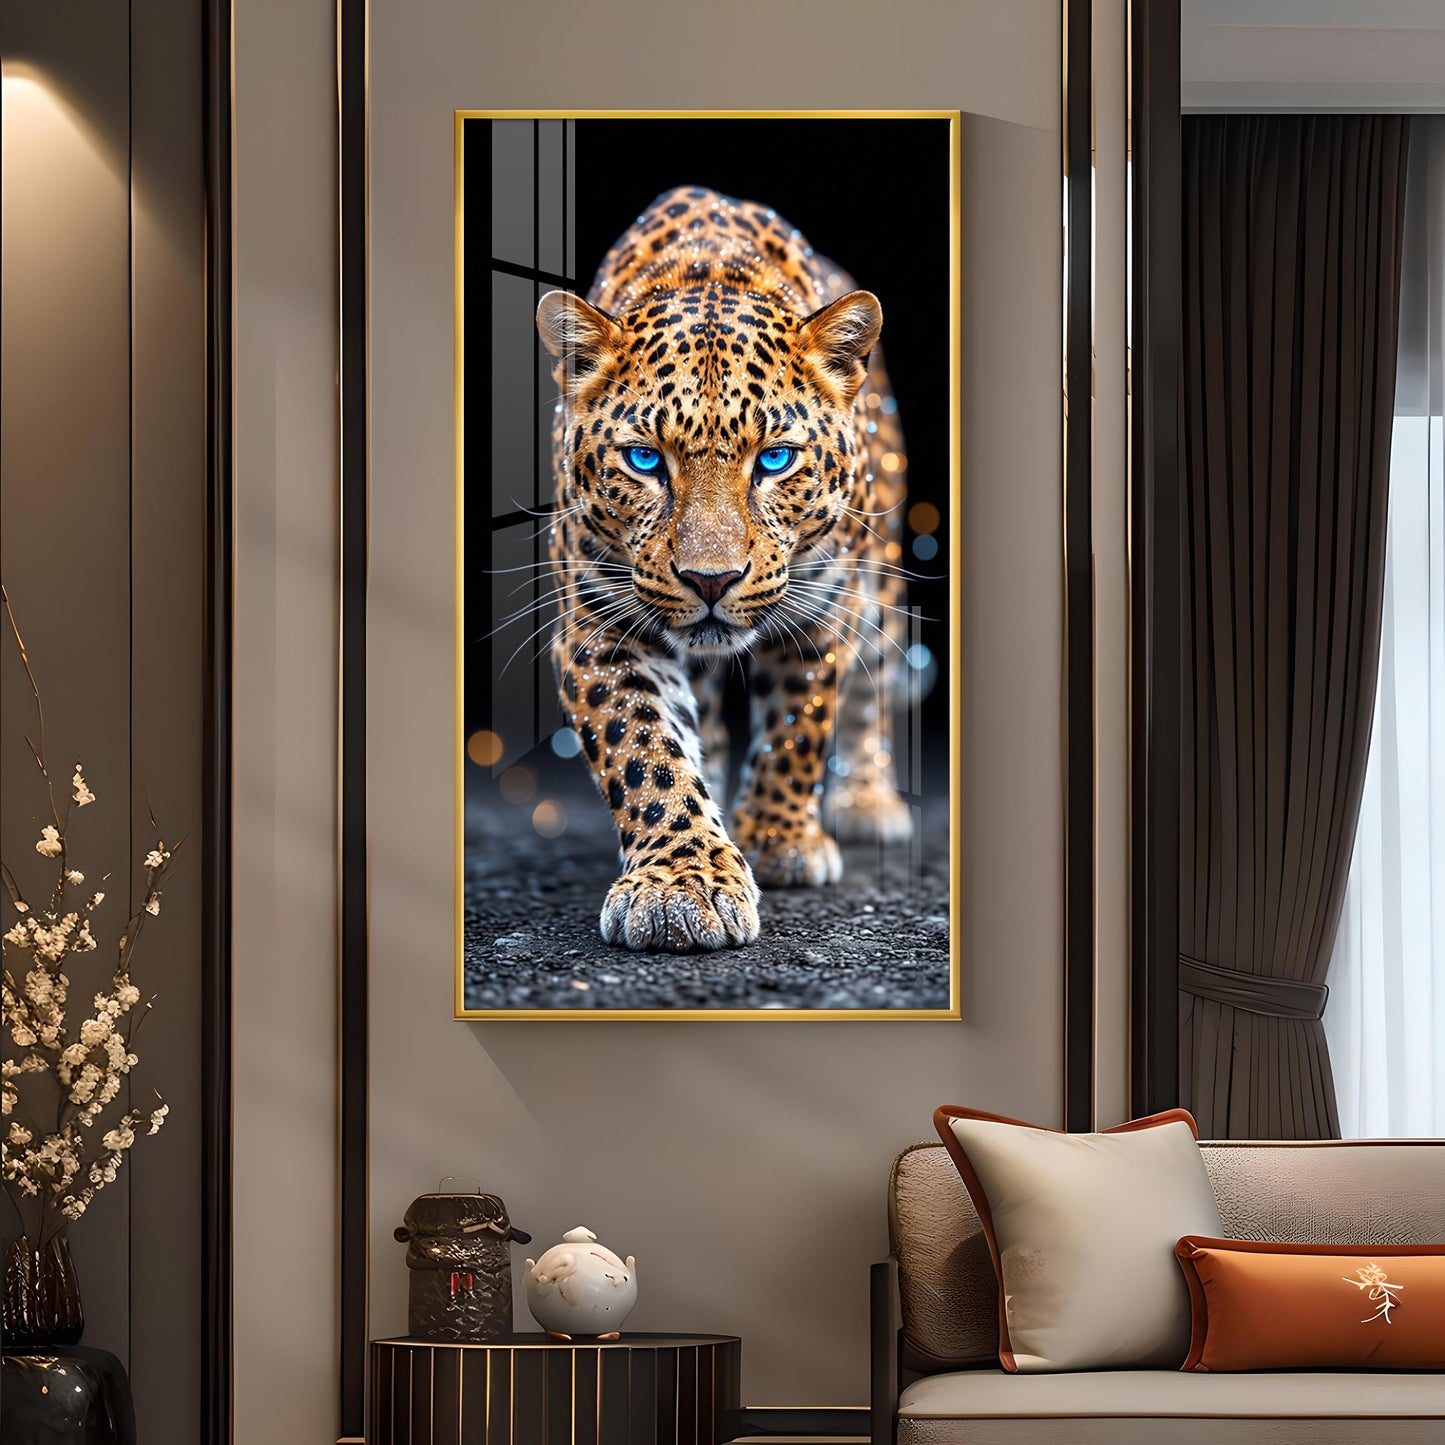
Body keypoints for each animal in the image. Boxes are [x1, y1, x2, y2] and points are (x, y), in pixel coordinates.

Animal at [534, 185, 916, 953]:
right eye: (644, 459)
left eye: (775, 458)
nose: (710, 581)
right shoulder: (598, 628)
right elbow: (644, 747)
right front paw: (682, 882)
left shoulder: (822, 607)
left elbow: (798, 725)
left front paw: (778, 838)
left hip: (881, 582)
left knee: (873, 690)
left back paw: (866, 800)